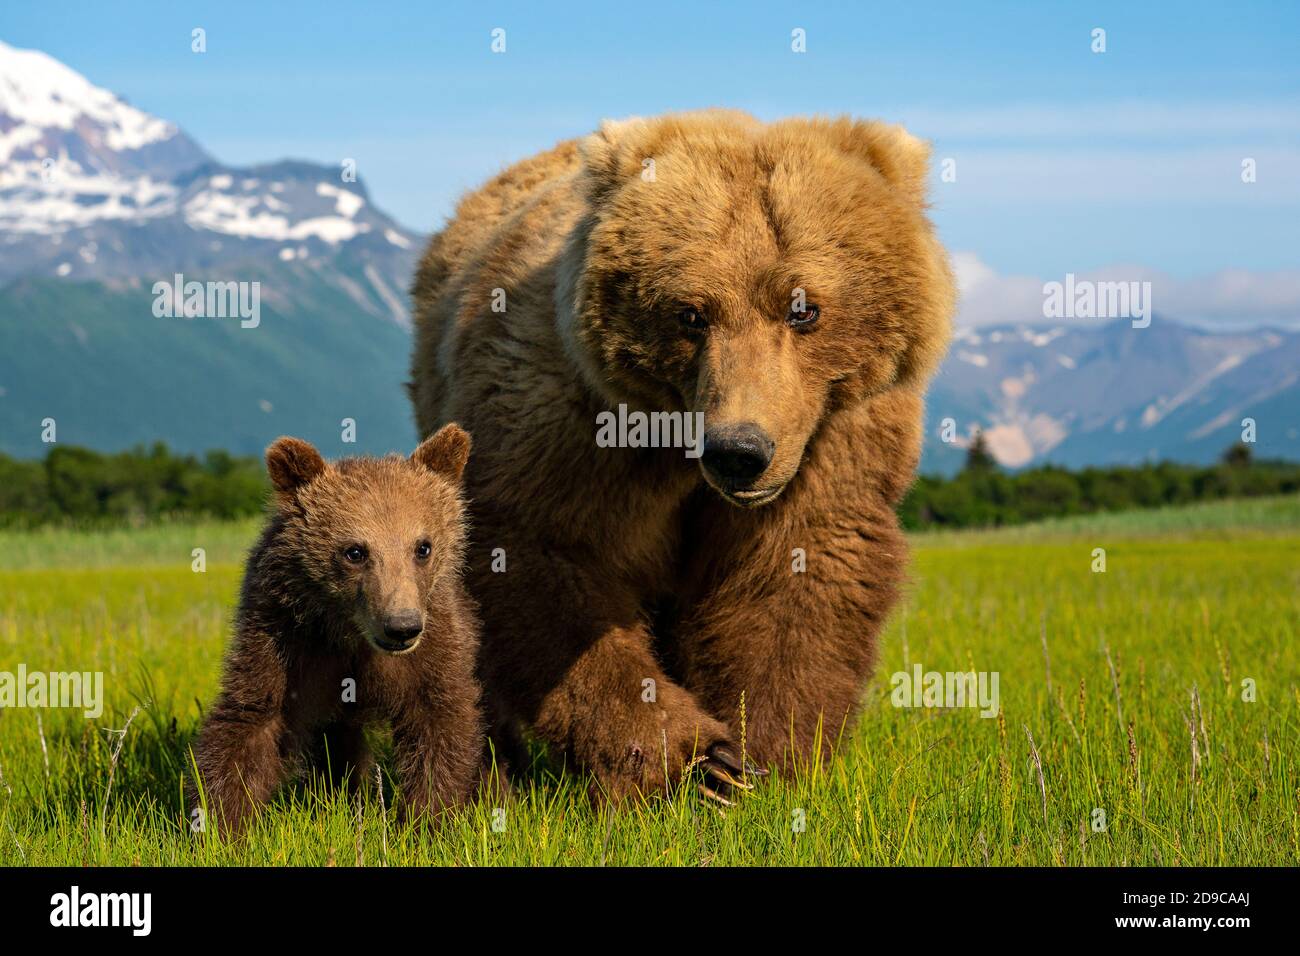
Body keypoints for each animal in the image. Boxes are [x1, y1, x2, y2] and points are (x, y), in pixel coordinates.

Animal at [408, 108, 956, 806]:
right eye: (690, 313)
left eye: (804, 309)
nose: (740, 452)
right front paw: (699, 764)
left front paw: (766, 756)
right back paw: (495, 771)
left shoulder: (830, 441)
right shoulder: (570, 425)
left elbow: (792, 575)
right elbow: (551, 567)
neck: (679, 448)